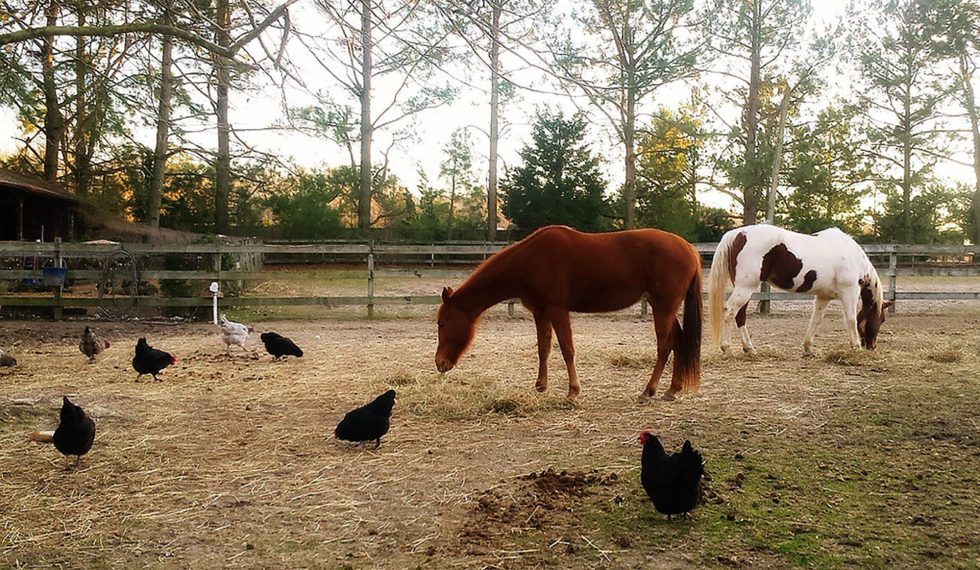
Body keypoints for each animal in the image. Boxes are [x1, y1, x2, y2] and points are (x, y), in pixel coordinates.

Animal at [435, 225, 703, 403]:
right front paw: (540, 385)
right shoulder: (541, 313)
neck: (530, 260)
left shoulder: (557, 310)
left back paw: (648, 391)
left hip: (663, 307)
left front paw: (573, 391)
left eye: (442, 323)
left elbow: (567, 350)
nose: (440, 363)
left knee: (664, 346)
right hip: (665, 308)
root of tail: (689, 249)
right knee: (678, 341)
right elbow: (544, 349)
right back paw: (672, 389)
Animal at [708, 224, 893, 356]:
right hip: (745, 288)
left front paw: (808, 348)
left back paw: (749, 349)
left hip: (744, 289)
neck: (852, 257)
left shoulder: (823, 297)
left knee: (740, 315)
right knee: (730, 311)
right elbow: (851, 319)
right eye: (882, 319)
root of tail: (737, 234)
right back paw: (727, 348)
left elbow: (815, 320)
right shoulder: (850, 291)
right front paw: (855, 347)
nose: (872, 346)